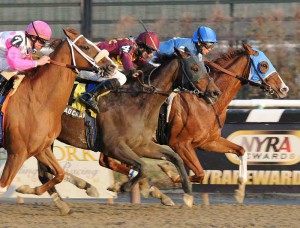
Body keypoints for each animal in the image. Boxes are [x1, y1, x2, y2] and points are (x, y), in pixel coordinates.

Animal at [0, 28, 116, 196]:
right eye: (86, 47)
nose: (112, 66)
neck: (39, 101)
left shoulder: (41, 148)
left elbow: (59, 173)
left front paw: (29, 188)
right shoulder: (16, 153)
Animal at [36, 49, 221, 213]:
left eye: (204, 67)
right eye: (194, 68)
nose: (215, 92)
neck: (137, 101)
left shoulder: (142, 145)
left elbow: (175, 158)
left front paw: (188, 194)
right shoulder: (113, 146)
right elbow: (143, 166)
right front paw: (123, 186)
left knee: (46, 172)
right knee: (47, 172)